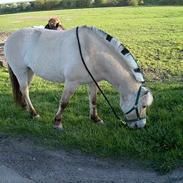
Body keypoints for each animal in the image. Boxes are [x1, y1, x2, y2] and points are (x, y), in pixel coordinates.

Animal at [3, 25, 153, 129]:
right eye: (143, 105)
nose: (140, 125)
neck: (91, 52)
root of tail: (9, 38)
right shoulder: (71, 82)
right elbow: (64, 103)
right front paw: (57, 123)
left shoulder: (92, 82)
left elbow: (93, 100)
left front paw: (96, 119)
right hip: (20, 71)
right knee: (25, 90)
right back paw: (34, 114)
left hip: (29, 71)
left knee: (23, 90)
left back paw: (25, 108)